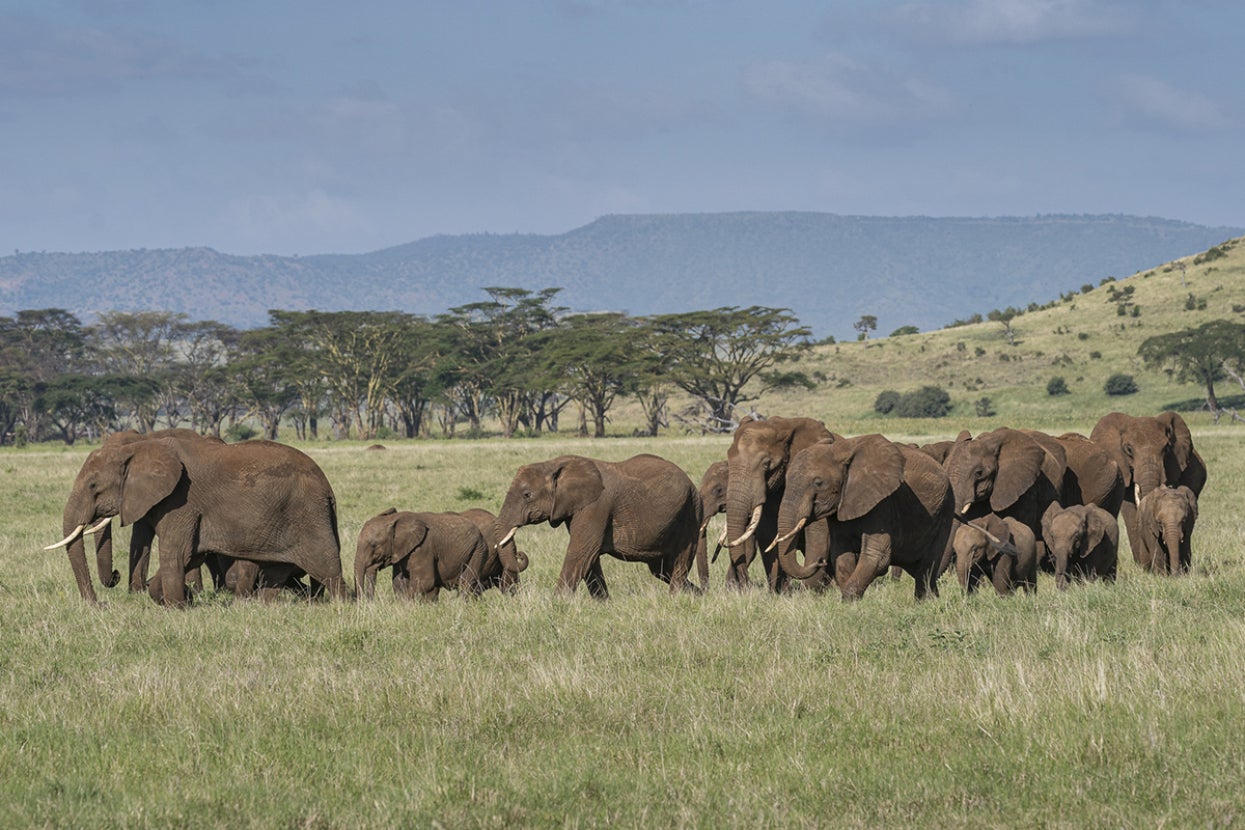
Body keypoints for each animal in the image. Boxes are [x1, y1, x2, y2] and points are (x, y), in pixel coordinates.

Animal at [46, 434, 348, 606]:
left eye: (93, 486)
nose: (98, 605)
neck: (138, 448)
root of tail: (328, 488)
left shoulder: (181, 500)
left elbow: (176, 554)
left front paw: (177, 607)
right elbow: (190, 555)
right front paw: (184, 598)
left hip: (307, 515)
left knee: (328, 569)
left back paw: (344, 606)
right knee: (277, 571)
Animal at [354, 508, 493, 601]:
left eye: (373, 545)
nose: (367, 602)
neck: (395, 519)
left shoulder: (423, 548)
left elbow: (425, 581)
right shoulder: (401, 552)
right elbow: (398, 582)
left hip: (479, 550)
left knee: (465, 583)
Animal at [493, 453, 702, 598]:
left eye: (527, 495)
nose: (520, 554)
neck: (554, 463)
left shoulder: (596, 506)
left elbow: (581, 552)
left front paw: (556, 603)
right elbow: (589, 557)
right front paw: (604, 604)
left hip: (691, 512)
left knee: (680, 561)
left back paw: (676, 598)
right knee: (662, 568)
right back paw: (699, 595)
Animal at [723, 415, 842, 591]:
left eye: (766, 464)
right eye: (728, 461)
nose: (745, 582)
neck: (783, 426)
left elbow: (818, 530)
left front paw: (810, 591)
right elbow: (767, 532)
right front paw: (780, 593)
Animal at [773, 434, 954, 601]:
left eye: (818, 483)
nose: (820, 561)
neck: (841, 451)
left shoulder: (882, 502)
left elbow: (877, 557)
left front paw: (847, 602)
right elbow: (841, 554)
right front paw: (851, 604)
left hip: (945, 510)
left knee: (927, 567)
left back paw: (925, 603)